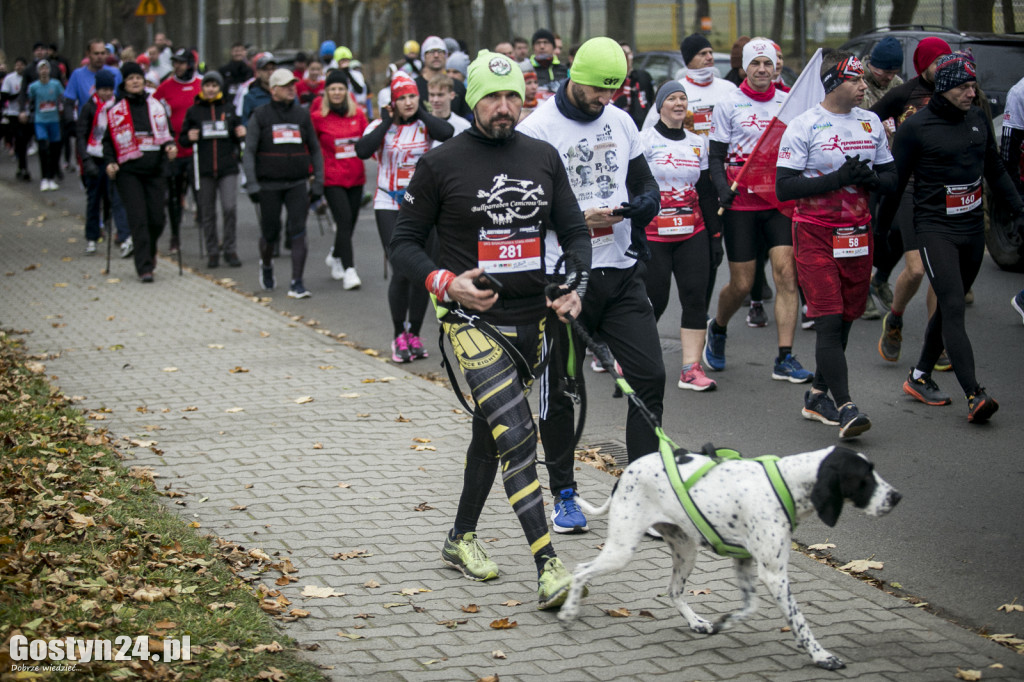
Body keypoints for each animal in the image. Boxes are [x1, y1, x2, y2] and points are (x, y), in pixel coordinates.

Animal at [561, 440, 905, 667]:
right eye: (865, 477)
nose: (897, 496)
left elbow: (750, 606)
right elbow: (798, 619)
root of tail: (626, 471)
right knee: (580, 570)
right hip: (623, 549)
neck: (788, 483)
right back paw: (568, 611)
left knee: (673, 591)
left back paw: (697, 622)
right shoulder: (774, 574)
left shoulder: (745, 563)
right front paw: (820, 655)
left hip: (685, 549)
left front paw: (724, 622)